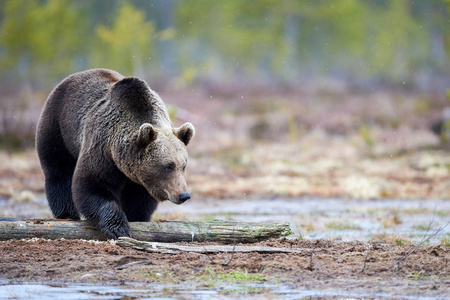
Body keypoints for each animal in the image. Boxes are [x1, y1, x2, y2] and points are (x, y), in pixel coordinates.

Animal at [36, 68, 194, 239]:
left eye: (183, 166)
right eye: (168, 166)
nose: (184, 195)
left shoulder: (140, 177)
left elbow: (139, 199)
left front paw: (135, 218)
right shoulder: (101, 149)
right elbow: (92, 185)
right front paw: (119, 228)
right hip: (58, 126)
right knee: (58, 170)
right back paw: (67, 213)